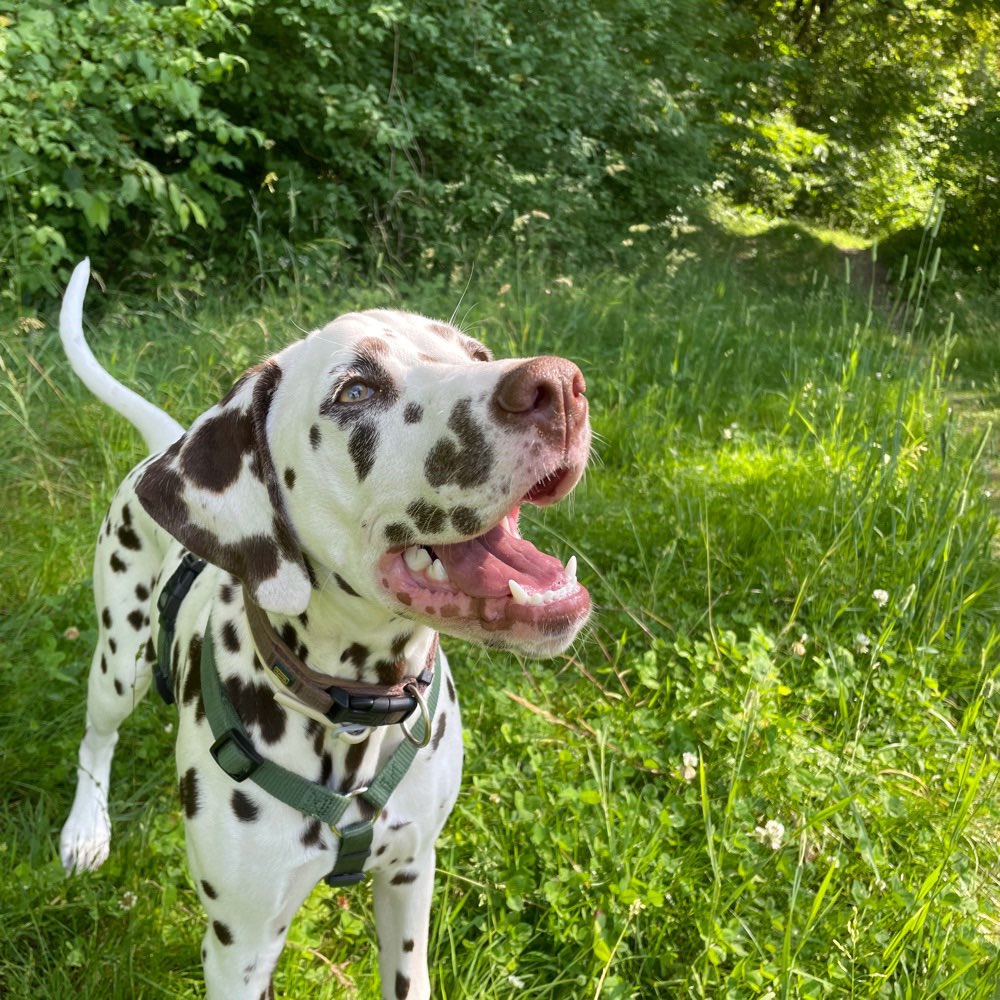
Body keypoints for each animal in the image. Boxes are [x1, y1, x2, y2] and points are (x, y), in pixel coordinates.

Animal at [58, 260, 588, 1000]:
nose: (559, 385)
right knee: (96, 740)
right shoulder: (240, 949)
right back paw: (86, 827)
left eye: (477, 354)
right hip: (118, 662)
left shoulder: (410, 878)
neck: (353, 714)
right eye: (354, 390)